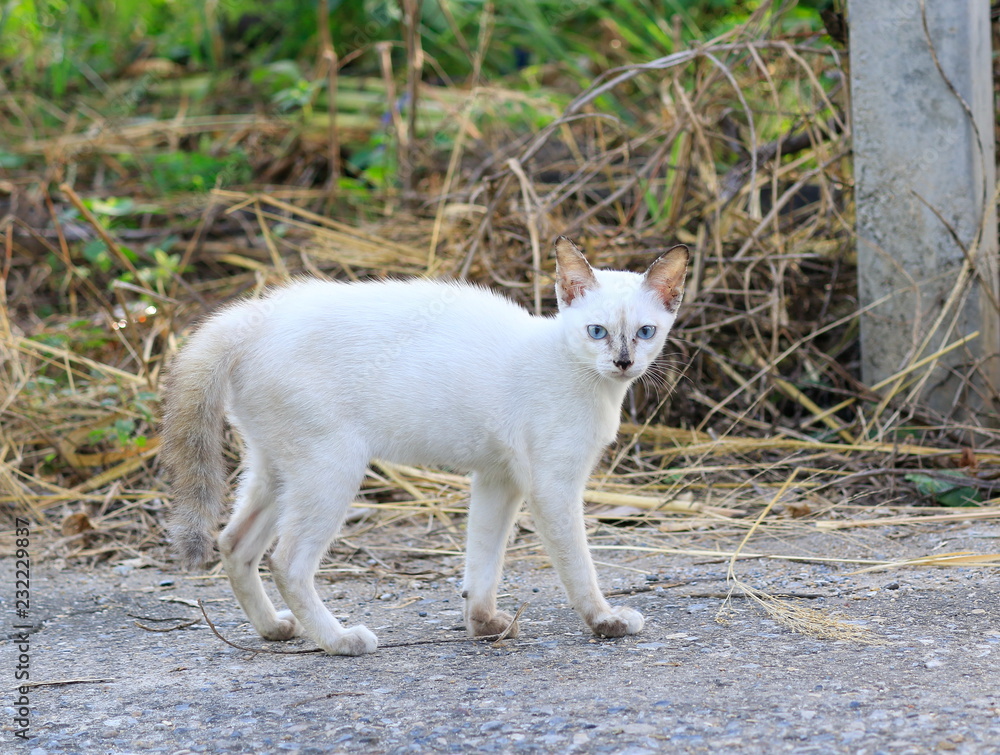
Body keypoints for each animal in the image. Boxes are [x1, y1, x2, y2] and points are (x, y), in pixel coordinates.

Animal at [164, 238, 688, 656]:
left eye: (645, 332)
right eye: (597, 331)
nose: (623, 362)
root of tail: (253, 316)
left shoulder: (498, 480)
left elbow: (483, 561)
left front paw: (483, 625)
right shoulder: (553, 487)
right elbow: (579, 567)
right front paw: (605, 621)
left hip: (278, 470)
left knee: (234, 543)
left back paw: (274, 629)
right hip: (331, 470)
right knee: (287, 561)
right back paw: (339, 641)